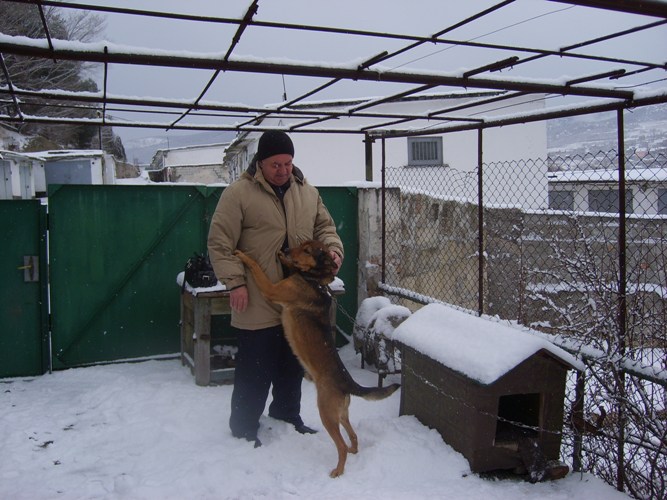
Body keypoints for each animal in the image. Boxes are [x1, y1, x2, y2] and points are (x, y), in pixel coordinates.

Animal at [236, 240, 402, 478]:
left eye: (307, 250)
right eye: (300, 245)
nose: (285, 250)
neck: (314, 281)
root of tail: (348, 383)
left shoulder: (271, 289)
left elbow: (256, 266)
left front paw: (243, 255)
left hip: (326, 414)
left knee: (340, 445)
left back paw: (338, 471)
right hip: (341, 414)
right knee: (352, 435)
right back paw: (353, 450)